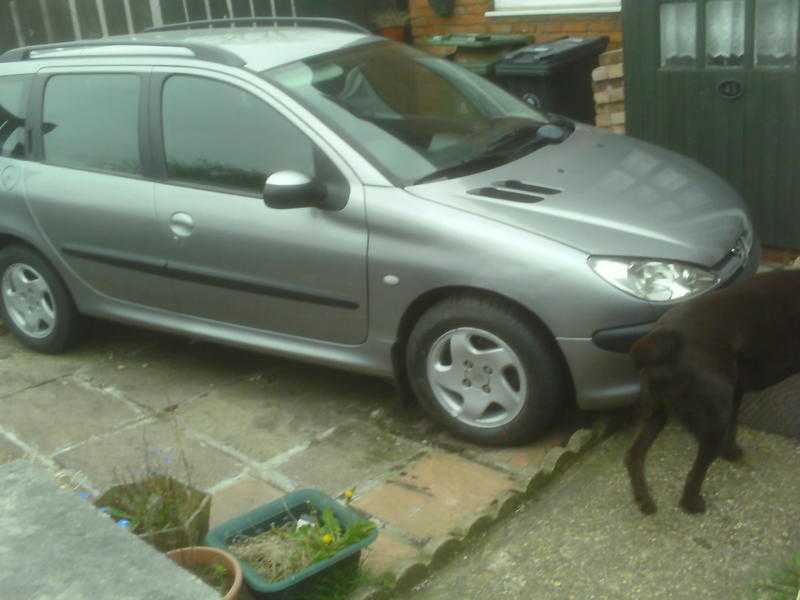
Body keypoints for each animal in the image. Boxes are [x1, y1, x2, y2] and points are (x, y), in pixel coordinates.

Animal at [624, 270, 800, 512]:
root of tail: (667, 338)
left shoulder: (736, 391)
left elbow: (733, 426)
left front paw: (731, 452)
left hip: (658, 412)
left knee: (634, 455)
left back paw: (645, 500)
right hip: (712, 420)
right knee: (694, 472)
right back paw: (692, 503)